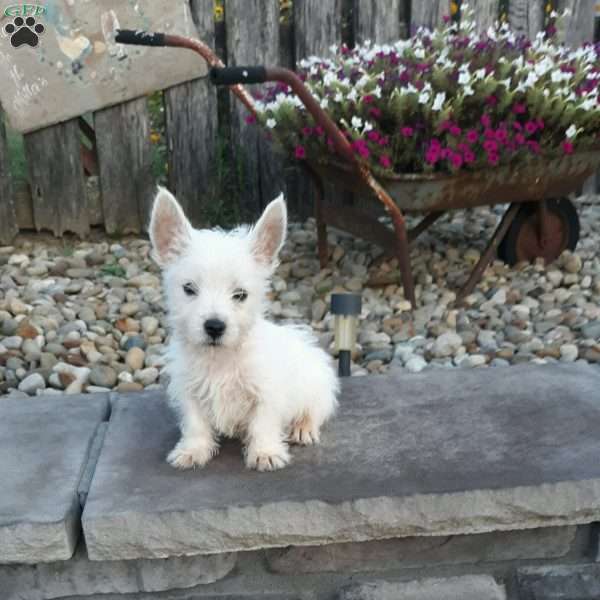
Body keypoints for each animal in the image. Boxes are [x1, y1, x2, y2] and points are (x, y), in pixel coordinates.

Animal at [148, 185, 340, 472]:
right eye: (189, 289)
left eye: (240, 294)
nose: (214, 326)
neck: (220, 359)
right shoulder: (189, 390)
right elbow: (195, 423)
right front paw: (193, 450)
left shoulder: (267, 391)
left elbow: (263, 422)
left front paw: (265, 452)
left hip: (317, 386)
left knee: (315, 410)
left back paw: (303, 427)